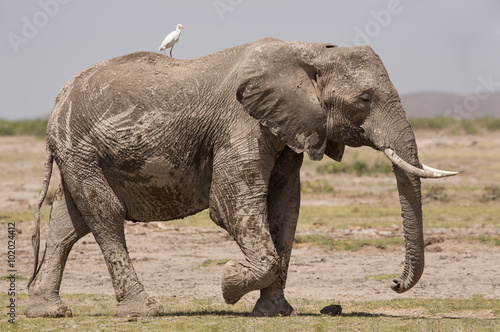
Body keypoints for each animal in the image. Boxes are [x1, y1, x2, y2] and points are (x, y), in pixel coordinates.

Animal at [27, 37, 458, 320]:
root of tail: (57, 102)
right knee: (106, 215)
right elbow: (232, 203)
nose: (394, 283)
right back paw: (144, 311)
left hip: (78, 156)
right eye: (365, 99)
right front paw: (228, 281)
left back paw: (49, 312)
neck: (310, 50)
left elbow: (285, 207)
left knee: (67, 224)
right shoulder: (240, 123)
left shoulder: (288, 130)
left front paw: (274, 312)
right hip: (81, 150)